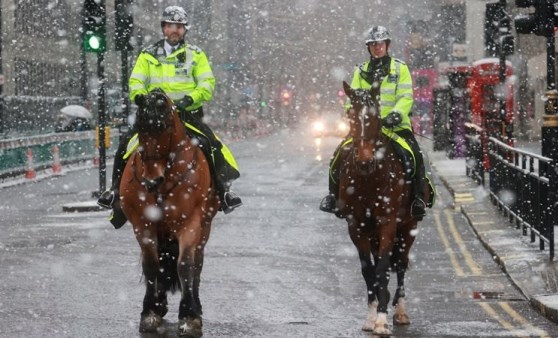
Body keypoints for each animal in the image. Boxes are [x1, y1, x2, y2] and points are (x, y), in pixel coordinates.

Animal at [120, 88, 219, 336]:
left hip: (204, 226)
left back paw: (196, 305)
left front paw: (189, 316)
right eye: (140, 129)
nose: (151, 180)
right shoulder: (143, 224)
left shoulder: (190, 222)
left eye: (164, 127)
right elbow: (151, 265)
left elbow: (185, 266)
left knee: (197, 263)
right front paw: (150, 312)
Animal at [336, 81, 424, 336]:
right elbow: (369, 271)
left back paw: (401, 311)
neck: (368, 179)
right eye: (351, 116)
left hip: (408, 227)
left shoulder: (388, 224)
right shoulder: (356, 226)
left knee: (401, 264)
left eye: (376, 118)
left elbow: (383, 268)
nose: (365, 161)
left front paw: (382, 320)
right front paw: (371, 316)